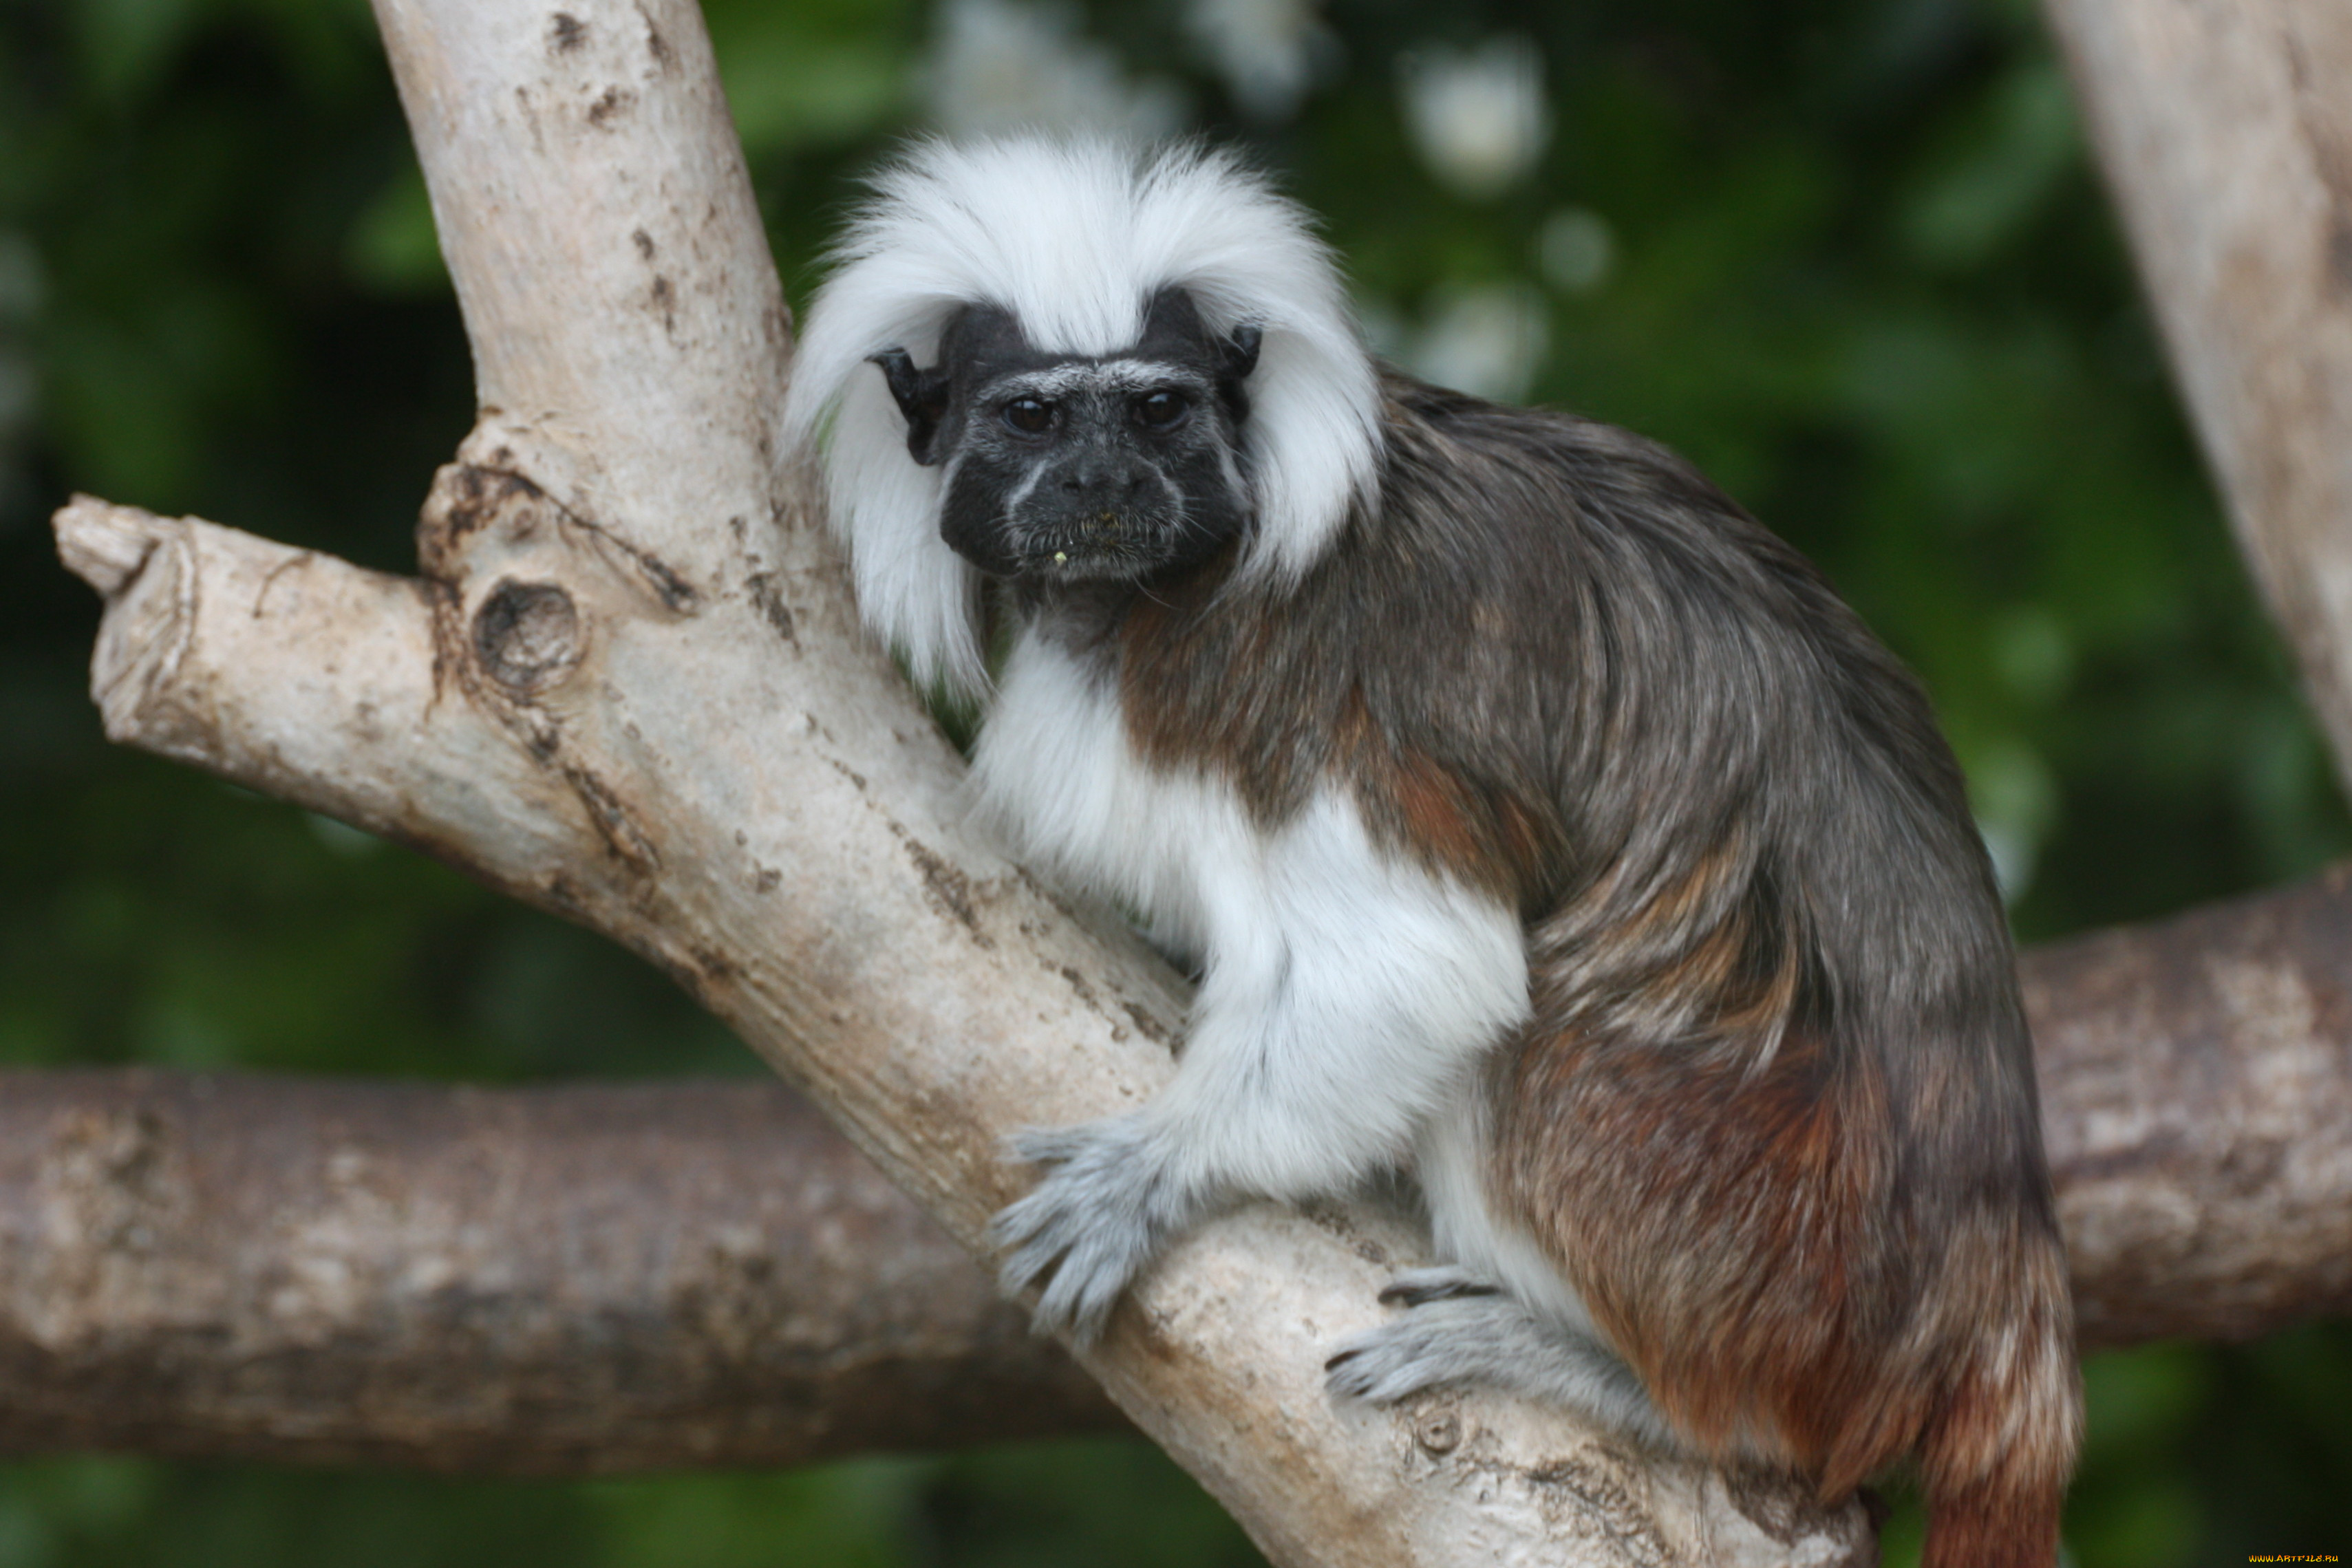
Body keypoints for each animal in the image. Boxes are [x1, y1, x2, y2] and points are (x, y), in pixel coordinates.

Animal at [785, 138, 2079, 1568]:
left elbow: (1414, 961)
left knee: (1539, 1072)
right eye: (1032, 419)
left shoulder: (1318, 691)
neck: (1151, 591)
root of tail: (1995, 1299)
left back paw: (1631, 1379)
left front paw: (1169, 1163)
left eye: (1157, 411)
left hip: (1766, 1240)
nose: (1103, 487)